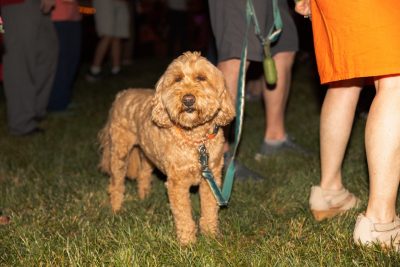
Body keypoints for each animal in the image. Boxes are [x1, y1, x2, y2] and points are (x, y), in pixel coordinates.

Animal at [99, 51, 234, 246]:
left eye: (201, 78)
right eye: (177, 79)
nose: (188, 99)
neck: (195, 139)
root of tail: (122, 94)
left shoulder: (211, 177)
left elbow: (209, 209)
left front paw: (210, 236)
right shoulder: (177, 183)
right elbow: (183, 215)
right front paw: (187, 243)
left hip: (147, 153)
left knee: (143, 174)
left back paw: (144, 197)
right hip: (119, 152)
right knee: (116, 183)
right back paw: (116, 209)